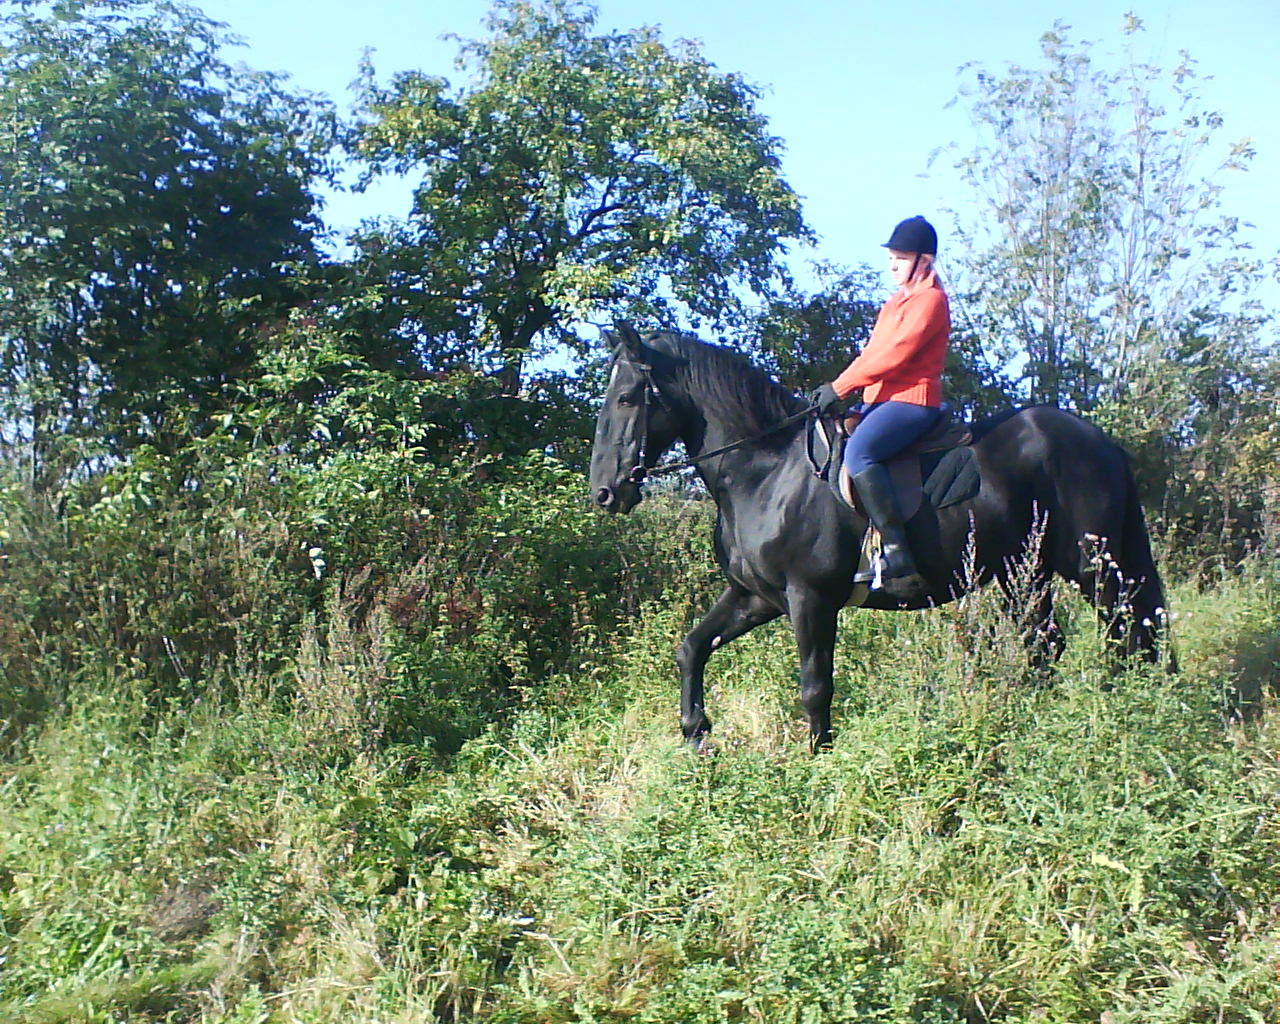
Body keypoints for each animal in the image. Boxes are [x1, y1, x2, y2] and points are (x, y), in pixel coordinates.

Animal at [588, 322, 1172, 752]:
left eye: (626, 398)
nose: (605, 493)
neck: (766, 470)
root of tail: (1099, 440)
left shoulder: (810, 598)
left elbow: (815, 685)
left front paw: (817, 759)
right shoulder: (755, 596)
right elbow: (692, 648)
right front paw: (696, 734)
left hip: (1091, 566)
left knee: (1125, 632)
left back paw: (1123, 712)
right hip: (1022, 575)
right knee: (1048, 642)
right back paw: (1034, 719)